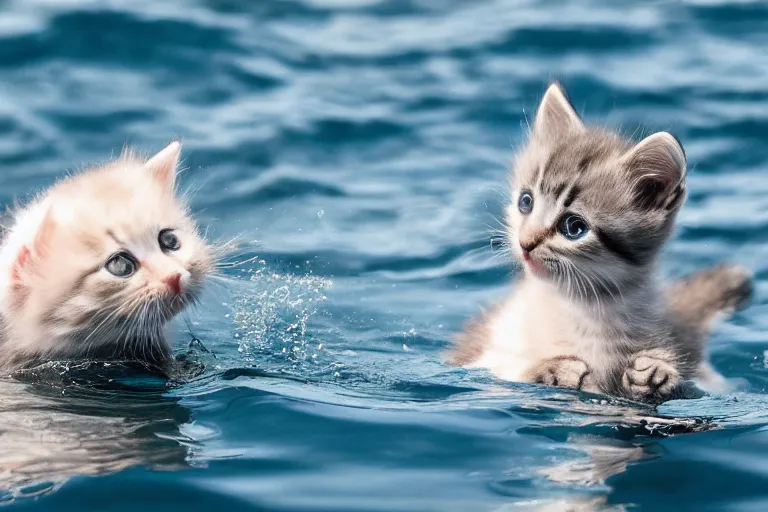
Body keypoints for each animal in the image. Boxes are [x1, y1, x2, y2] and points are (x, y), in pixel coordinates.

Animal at [448, 84, 752, 402]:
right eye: (526, 201)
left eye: (574, 227)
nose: (525, 243)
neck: (582, 305)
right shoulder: (486, 352)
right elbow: (500, 371)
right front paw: (549, 369)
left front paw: (655, 373)